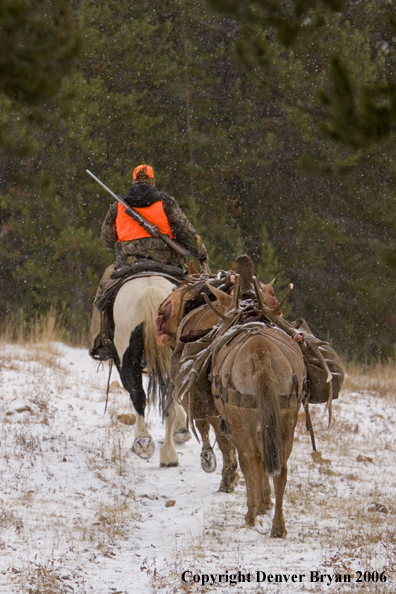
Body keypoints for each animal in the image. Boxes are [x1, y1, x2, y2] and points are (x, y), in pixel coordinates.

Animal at [110, 276, 186, 464]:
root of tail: (149, 290)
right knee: (169, 401)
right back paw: (169, 454)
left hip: (127, 361)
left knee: (137, 396)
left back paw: (143, 441)